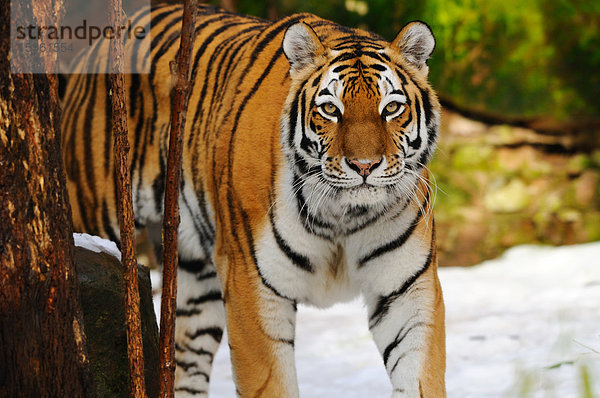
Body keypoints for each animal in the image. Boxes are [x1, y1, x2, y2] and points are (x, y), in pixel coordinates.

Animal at [61, 1, 446, 396]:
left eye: (391, 109)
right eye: (330, 110)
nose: (364, 165)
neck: (344, 216)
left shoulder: (408, 290)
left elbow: (420, 376)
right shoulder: (252, 286)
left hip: (195, 281)